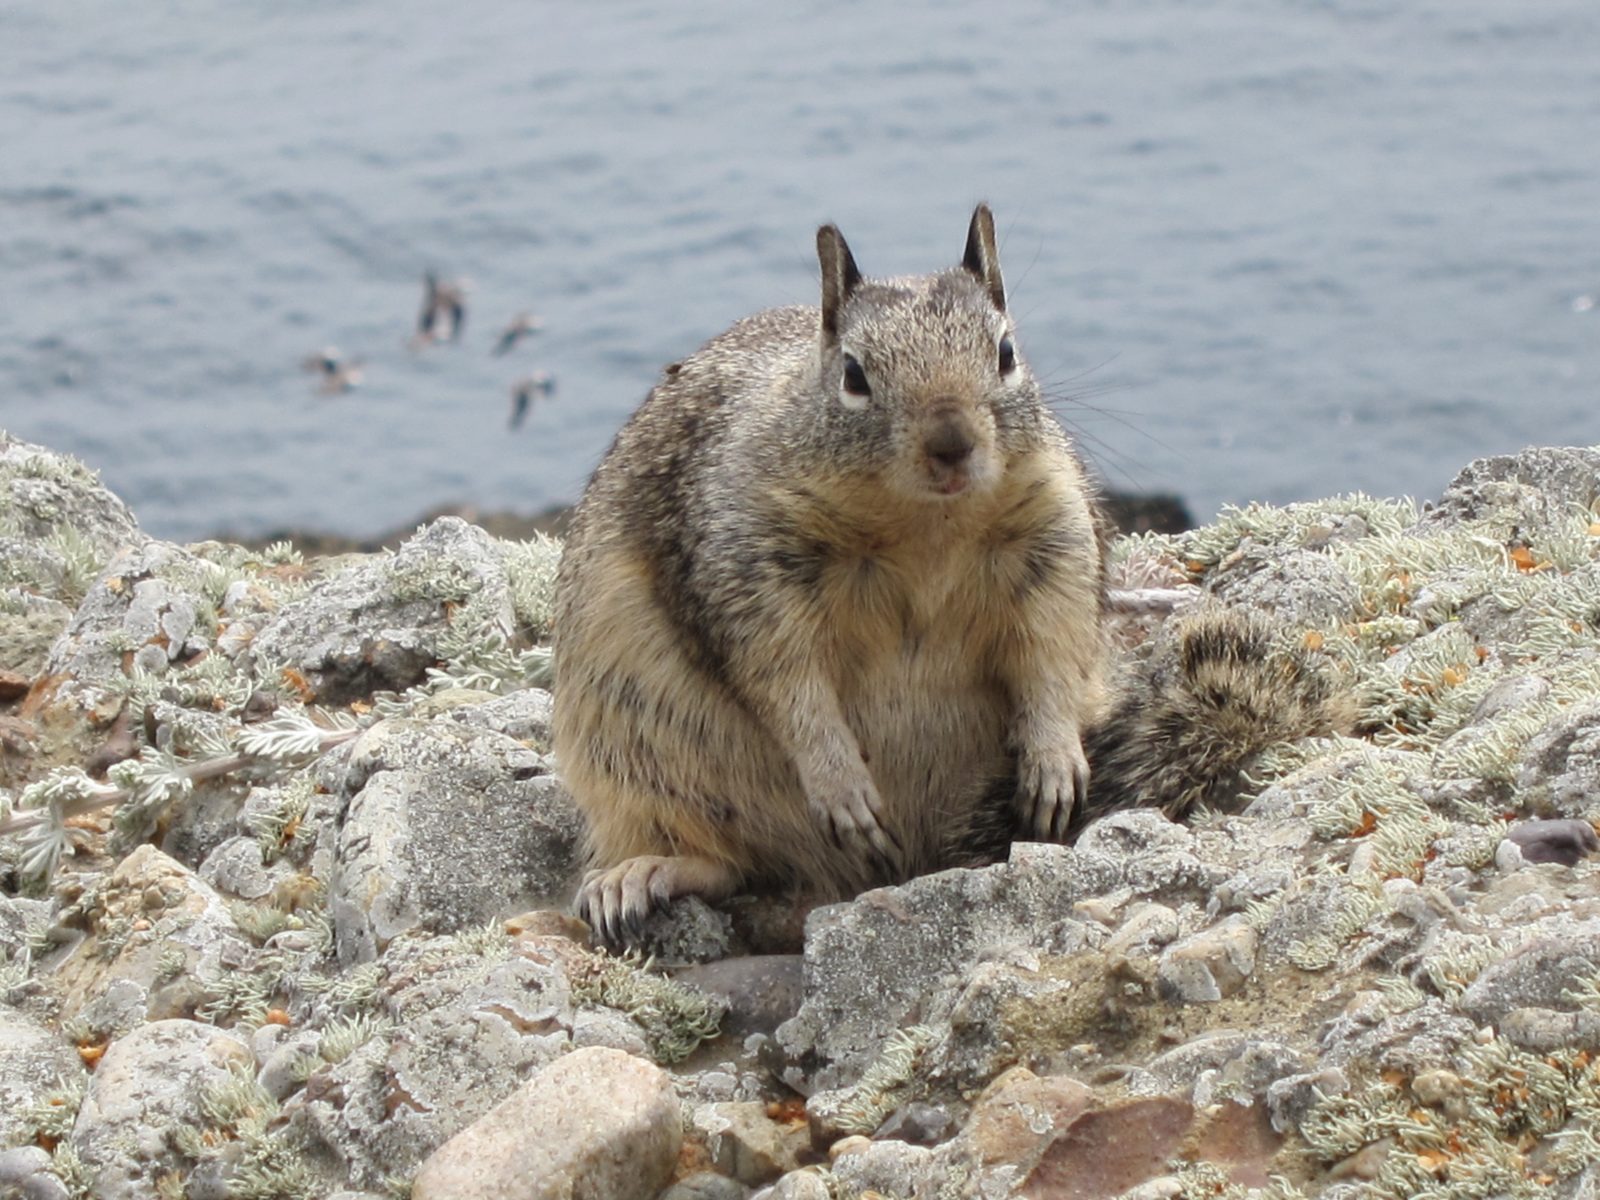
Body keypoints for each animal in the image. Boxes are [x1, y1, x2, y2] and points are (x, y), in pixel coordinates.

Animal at [552, 205, 1348, 944]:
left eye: (1006, 351)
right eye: (853, 375)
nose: (951, 441)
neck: (925, 528)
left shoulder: (1053, 541)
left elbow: (1051, 653)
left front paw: (1053, 760)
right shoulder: (743, 568)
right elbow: (787, 684)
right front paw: (842, 784)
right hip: (629, 755)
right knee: (730, 861)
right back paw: (641, 874)